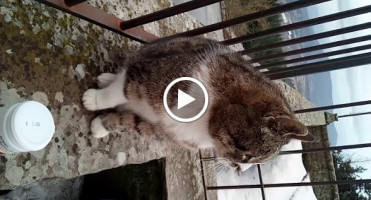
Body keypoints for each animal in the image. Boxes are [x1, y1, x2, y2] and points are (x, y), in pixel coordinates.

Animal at [83, 37, 316, 167]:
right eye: (243, 149)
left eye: (257, 160)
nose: (236, 166)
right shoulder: (147, 75)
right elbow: (120, 92)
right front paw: (94, 100)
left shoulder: (164, 130)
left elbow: (128, 122)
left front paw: (100, 127)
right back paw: (105, 80)